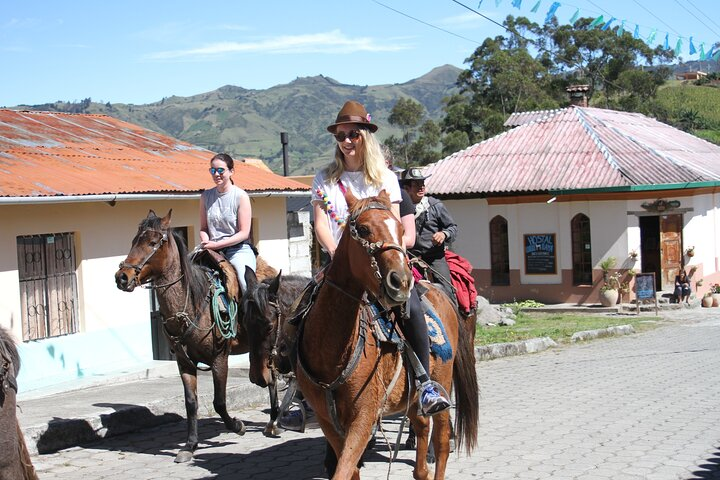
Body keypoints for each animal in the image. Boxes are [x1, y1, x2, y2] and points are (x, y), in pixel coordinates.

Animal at [114, 209, 280, 462]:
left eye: (152, 243)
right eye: (134, 241)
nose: (122, 277)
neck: (192, 302)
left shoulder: (219, 358)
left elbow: (219, 402)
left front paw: (237, 426)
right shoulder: (184, 362)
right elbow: (191, 403)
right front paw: (189, 445)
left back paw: (275, 421)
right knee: (270, 376)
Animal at [292, 191, 478, 480]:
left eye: (401, 230)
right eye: (363, 229)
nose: (400, 281)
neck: (332, 352)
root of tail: (440, 291)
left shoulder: (364, 416)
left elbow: (344, 468)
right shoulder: (328, 422)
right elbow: (349, 470)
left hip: (443, 382)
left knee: (441, 442)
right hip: (412, 399)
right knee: (422, 429)